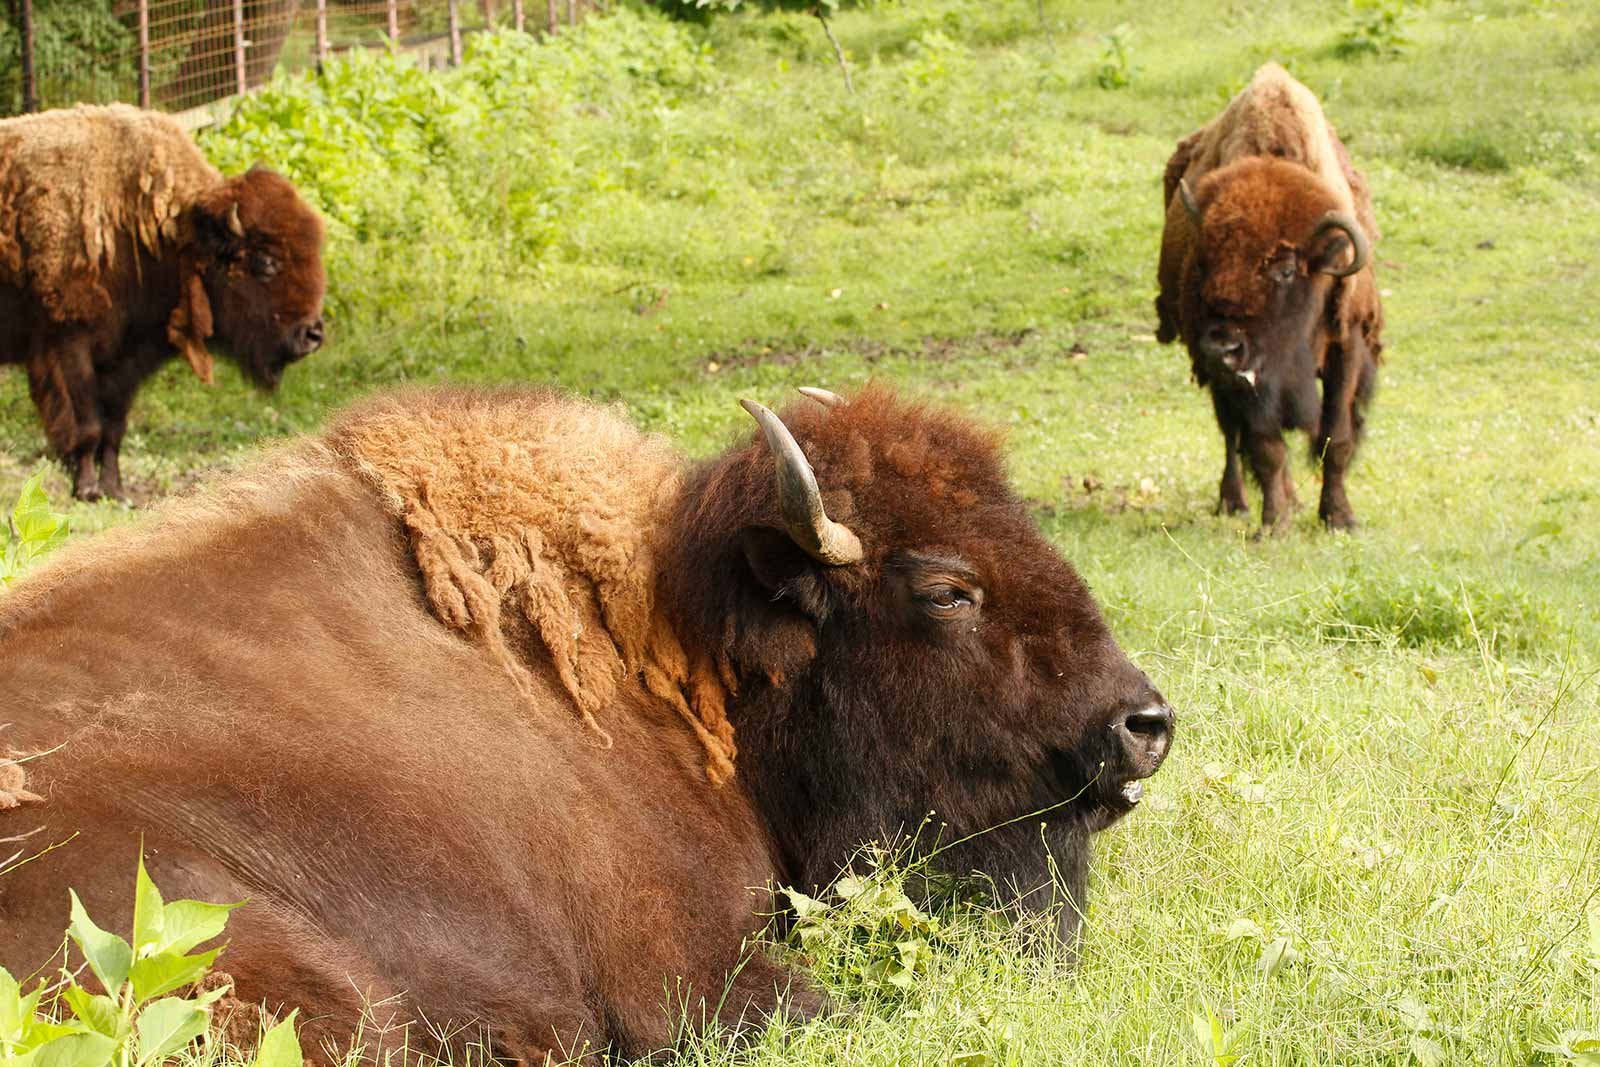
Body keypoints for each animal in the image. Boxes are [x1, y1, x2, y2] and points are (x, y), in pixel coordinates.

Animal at [0, 103, 328, 502]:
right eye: (265, 262)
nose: (312, 335)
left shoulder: (124, 360)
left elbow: (114, 427)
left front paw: (116, 490)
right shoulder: (67, 345)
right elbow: (87, 425)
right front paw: (88, 489)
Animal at [1152, 64, 1388, 531]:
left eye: (1285, 269)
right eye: (1203, 263)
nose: (1222, 347)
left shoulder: (1346, 343)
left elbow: (1336, 438)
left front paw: (1340, 518)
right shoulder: (1249, 381)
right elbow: (1265, 446)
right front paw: (1274, 524)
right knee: (1230, 437)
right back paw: (1236, 502)